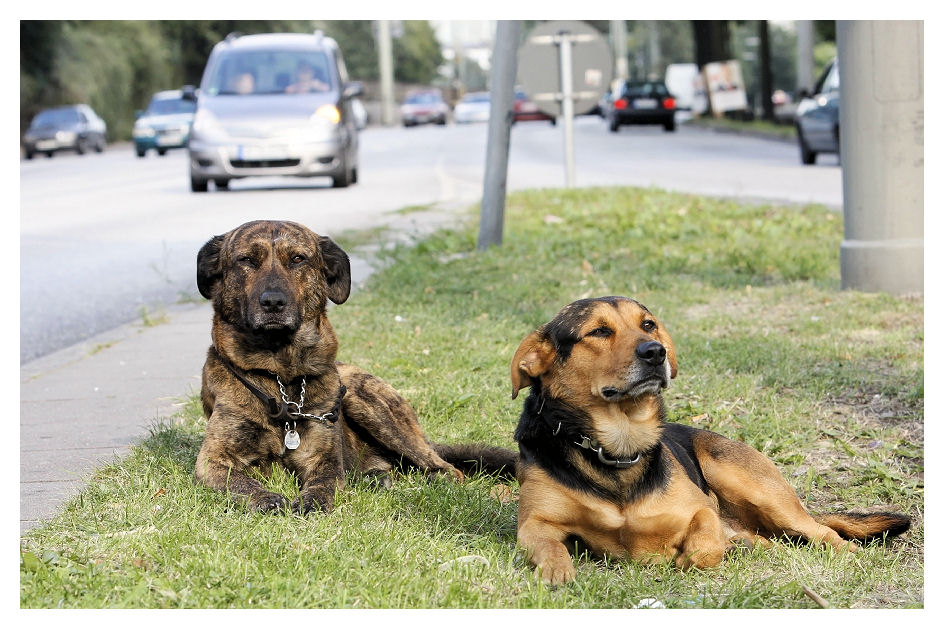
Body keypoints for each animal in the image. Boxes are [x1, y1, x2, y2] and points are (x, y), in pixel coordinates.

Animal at [195, 218, 512, 512]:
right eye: (247, 260)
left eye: (298, 259)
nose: (273, 302)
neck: (281, 376)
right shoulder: (213, 460)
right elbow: (240, 482)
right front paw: (266, 498)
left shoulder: (324, 458)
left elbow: (323, 483)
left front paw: (312, 502)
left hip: (366, 403)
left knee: (445, 467)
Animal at [512, 296, 912, 580]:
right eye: (598, 332)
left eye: (648, 325)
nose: (655, 351)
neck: (619, 446)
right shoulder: (534, 524)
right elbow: (549, 547)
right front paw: (556, 572)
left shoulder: (700, 506)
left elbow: (704, 536)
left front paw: (693, 555)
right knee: (766, 540)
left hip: (751, 485)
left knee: (823, 533)